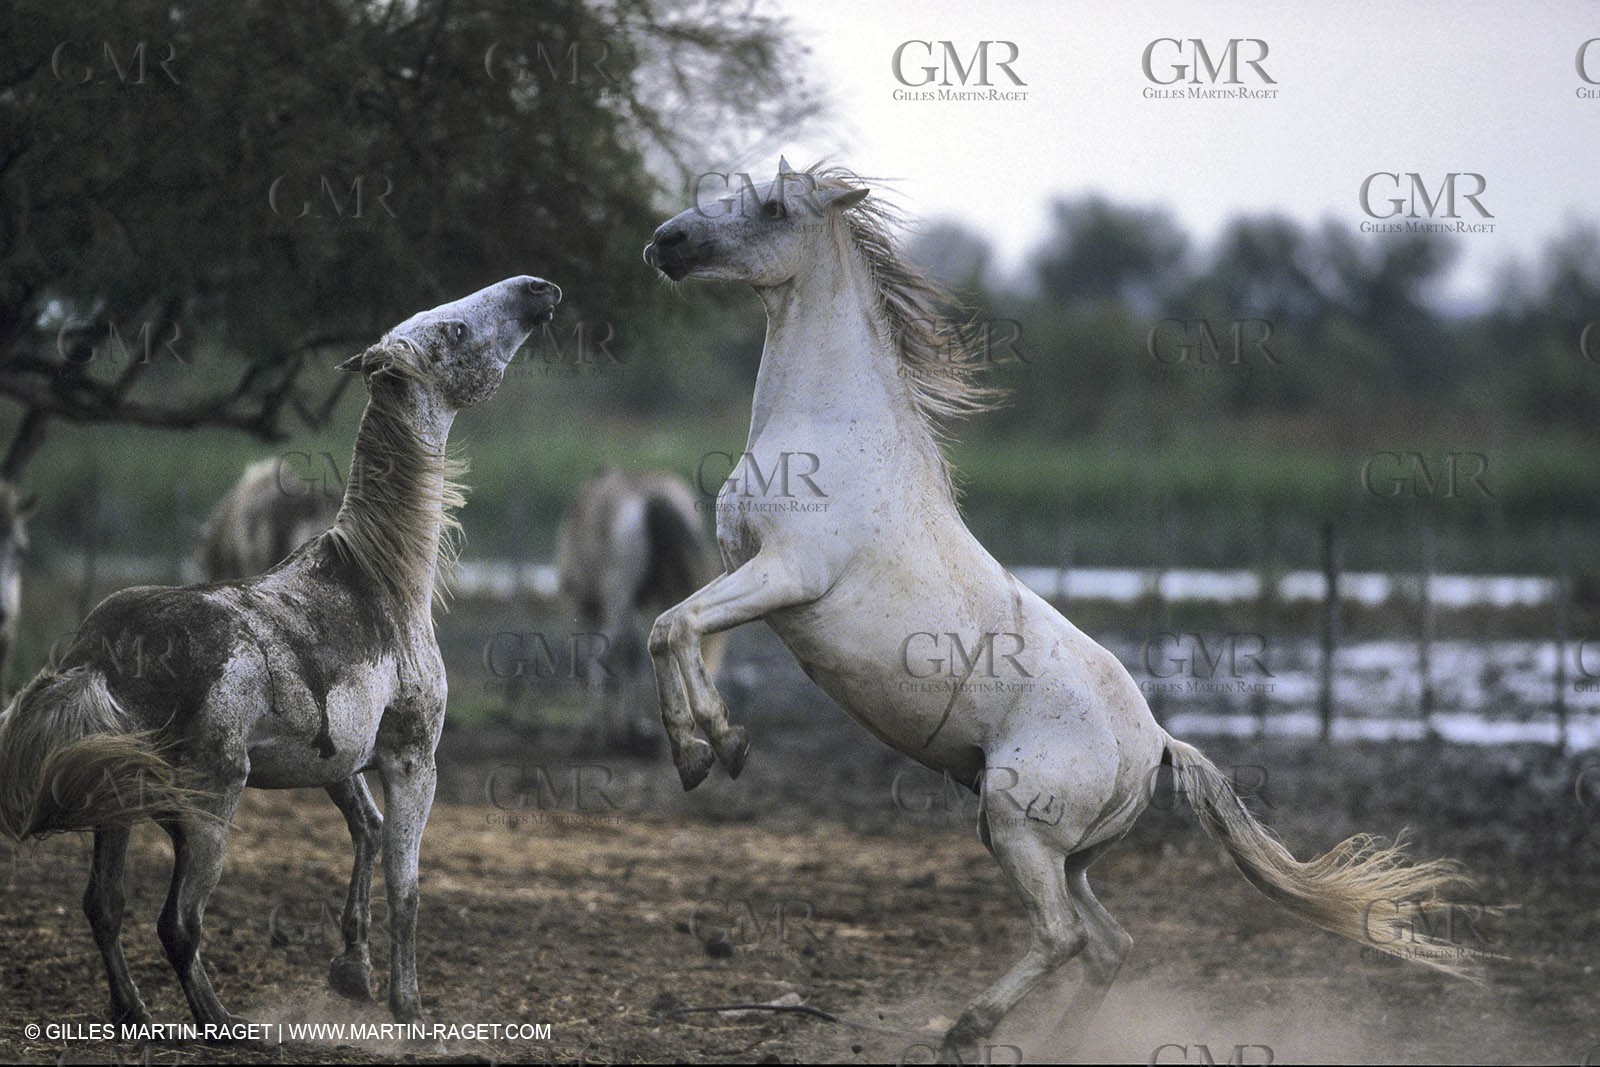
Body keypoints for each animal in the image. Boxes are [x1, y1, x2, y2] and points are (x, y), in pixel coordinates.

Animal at [555, 467, 725, 753]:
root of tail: (647, 496)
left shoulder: (580, 605)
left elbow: (591, 655)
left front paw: (600, 729)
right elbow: (633, 654)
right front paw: (631, 730)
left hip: (616, 598)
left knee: (602, 653)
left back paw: (595, 732)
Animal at [642, 160, 1481, 1056]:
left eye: (771, 207)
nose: (666, 242)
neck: (827, 438)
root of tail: (1155, 743)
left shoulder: (787, 575)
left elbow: (677, 625)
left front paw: (716, 745)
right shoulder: (746, 572)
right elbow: (671, 629)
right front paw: (702, 750)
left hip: (1022, 828)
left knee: (1064, 936)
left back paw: (966, 1029)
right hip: (1057, 850)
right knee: (1108, 943)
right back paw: (1049, 1042)